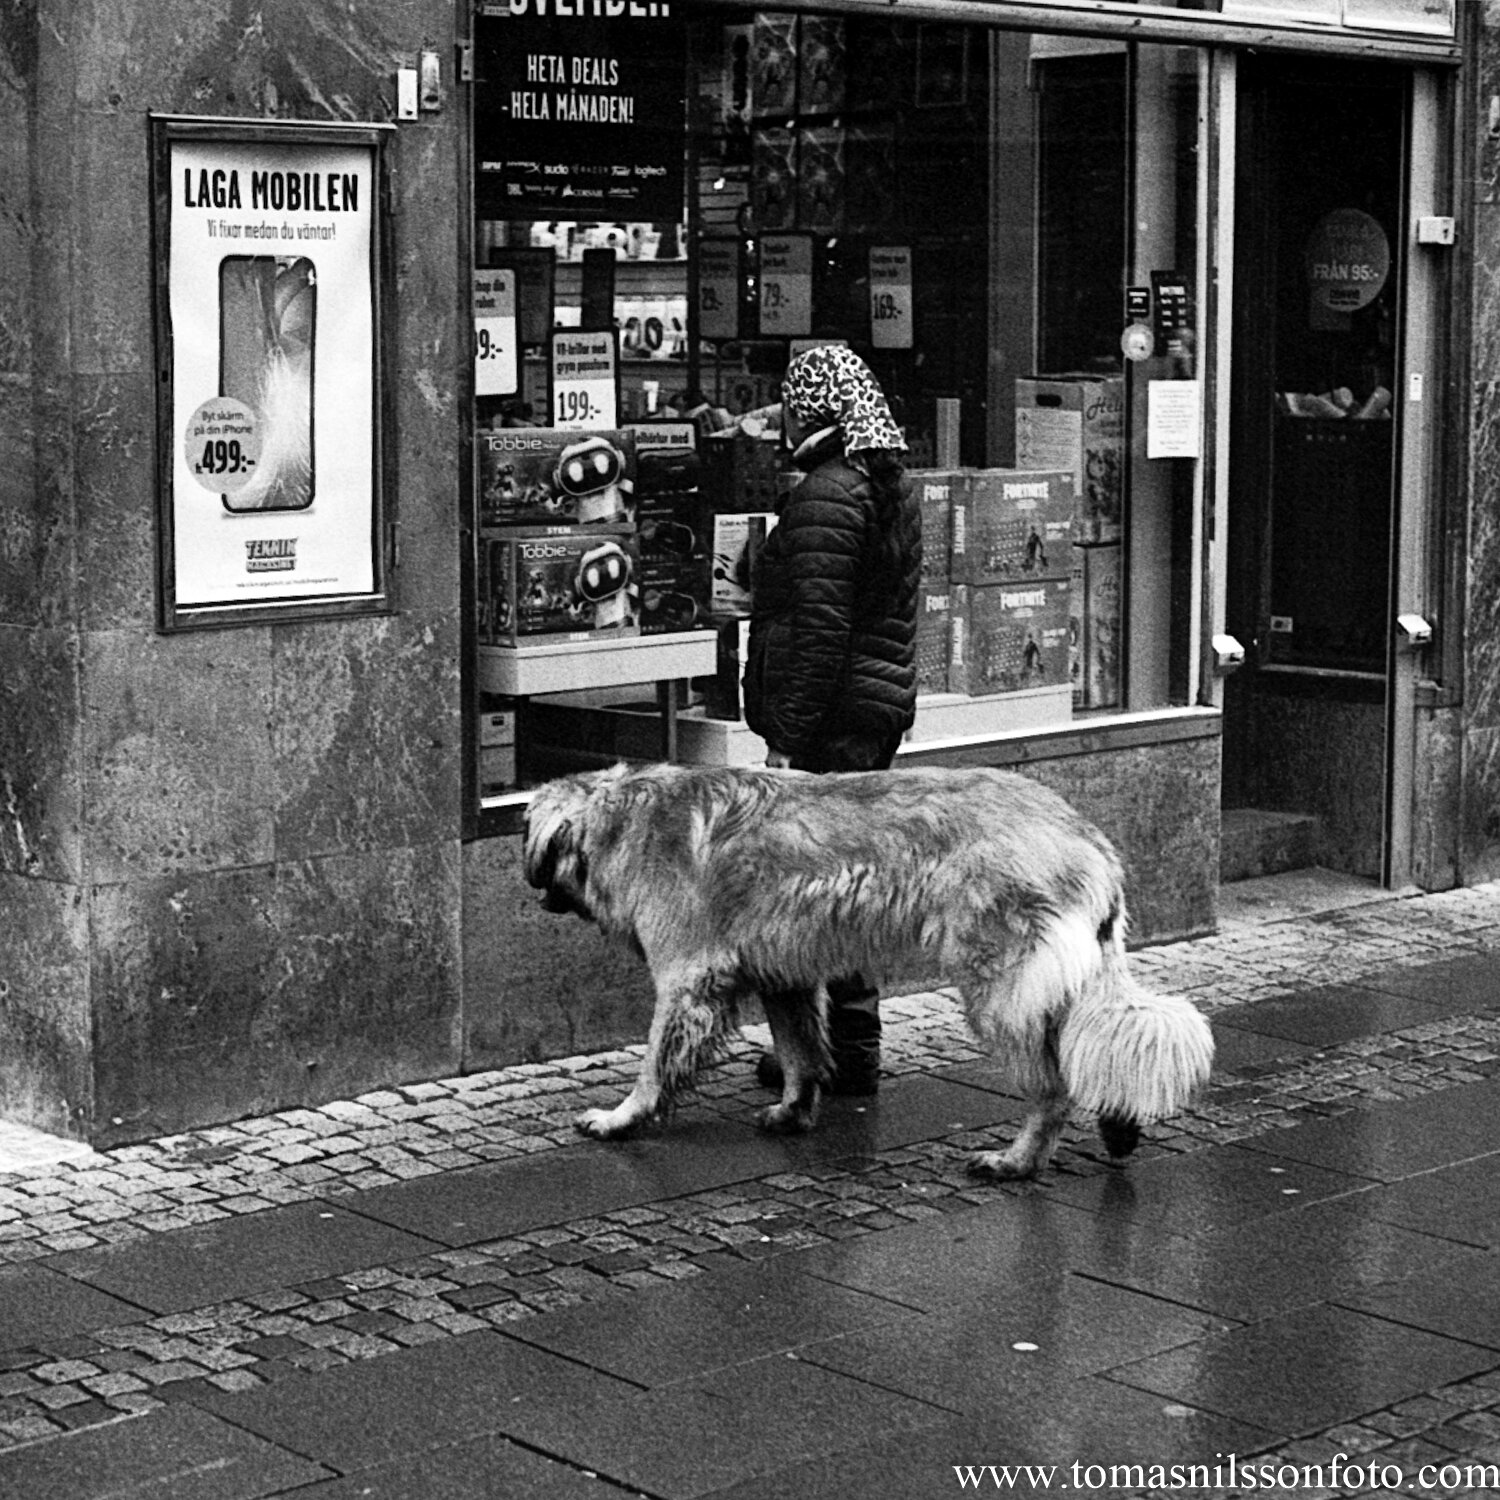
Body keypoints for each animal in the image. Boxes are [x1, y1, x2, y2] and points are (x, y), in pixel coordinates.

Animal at [522, 768, 1212, 1176]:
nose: (535, 897)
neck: (621, 818)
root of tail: (1087, 835)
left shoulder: (686, 981)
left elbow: (654, 1064)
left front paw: (623, 1118)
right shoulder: (787, 979)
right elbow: (800, 1053)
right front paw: (794, 1112)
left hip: (999, 990)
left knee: (1053, 1086)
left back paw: (1016, 1160)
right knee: (1091, 1044)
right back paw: (1118, 1126)